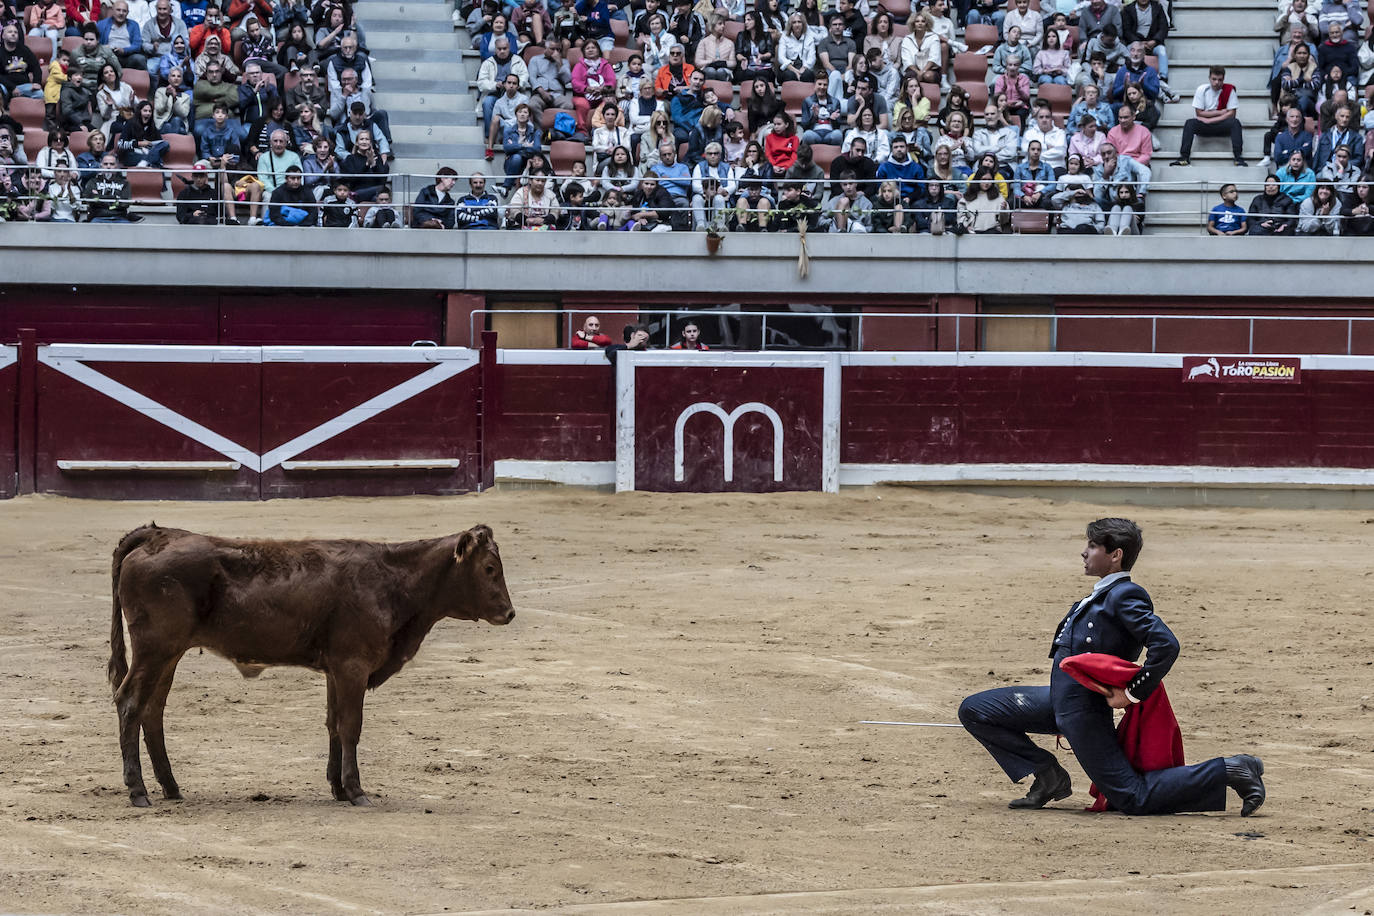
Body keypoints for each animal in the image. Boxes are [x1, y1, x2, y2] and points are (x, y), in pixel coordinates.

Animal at [108, 521, 516, 807]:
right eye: (490, 568)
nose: (509, 614)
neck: (391, 579)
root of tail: (158, 535)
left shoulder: (336, 670)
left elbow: (333, 724)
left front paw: (338, 788)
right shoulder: (353, 665)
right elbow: (351, 726)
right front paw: (356, 790)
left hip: (169, 654)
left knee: (153, 711)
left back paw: (171, 787)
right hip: (154, 649)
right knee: (130, 703)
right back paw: (138, 790)